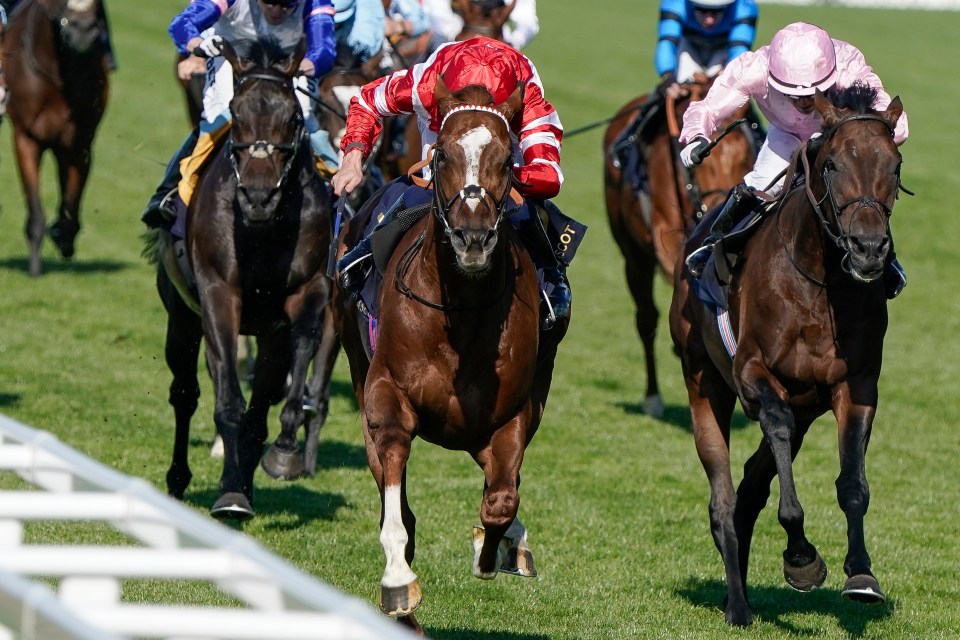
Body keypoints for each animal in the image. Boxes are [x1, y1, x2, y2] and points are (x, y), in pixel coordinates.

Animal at [2, 0, 108, 276]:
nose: (82, 30)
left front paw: (63, 235)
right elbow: (35, 204)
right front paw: (35, 265)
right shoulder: (27, 138)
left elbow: (72, 199)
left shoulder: (80, 141)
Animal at [147, 41, 334, 520]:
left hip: (266, 336)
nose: (258, 196)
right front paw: (229, 494)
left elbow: (299, 353)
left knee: (259, 406)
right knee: (186, 393)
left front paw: (284, 451)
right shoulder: (218, 295)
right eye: (236, 110)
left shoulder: (307, 293)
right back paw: (182, 481)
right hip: (181, 317)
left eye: (293, 116)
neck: (262, 230)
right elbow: (227, 400)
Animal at [334, 77, 568, 632]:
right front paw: (398, 583)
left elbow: (501, 500)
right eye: (441, 153)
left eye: (507, 159)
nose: (473, 237)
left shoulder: (511, 413)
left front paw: (493, 549)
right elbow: (397, 506)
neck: (459, 314)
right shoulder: (387, 397)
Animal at [604, 75, 752, 418]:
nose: (724, 204)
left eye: (744, 156)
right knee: (646, 317)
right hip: (633, 255)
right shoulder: (665, 238)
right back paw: (653, 397)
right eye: (702, 162)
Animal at [672, 84, 904, 624]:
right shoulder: (753, 375)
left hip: (805, 407)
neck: (820, 282)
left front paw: (861, 574)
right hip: (704, 383)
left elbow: (852, 483)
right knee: (723, 497)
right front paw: (801, 557)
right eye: (833, 164)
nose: (868, 249)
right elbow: (775, 445)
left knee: (749, 490)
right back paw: (738, 604)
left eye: (895, 164)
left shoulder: (854, 385)